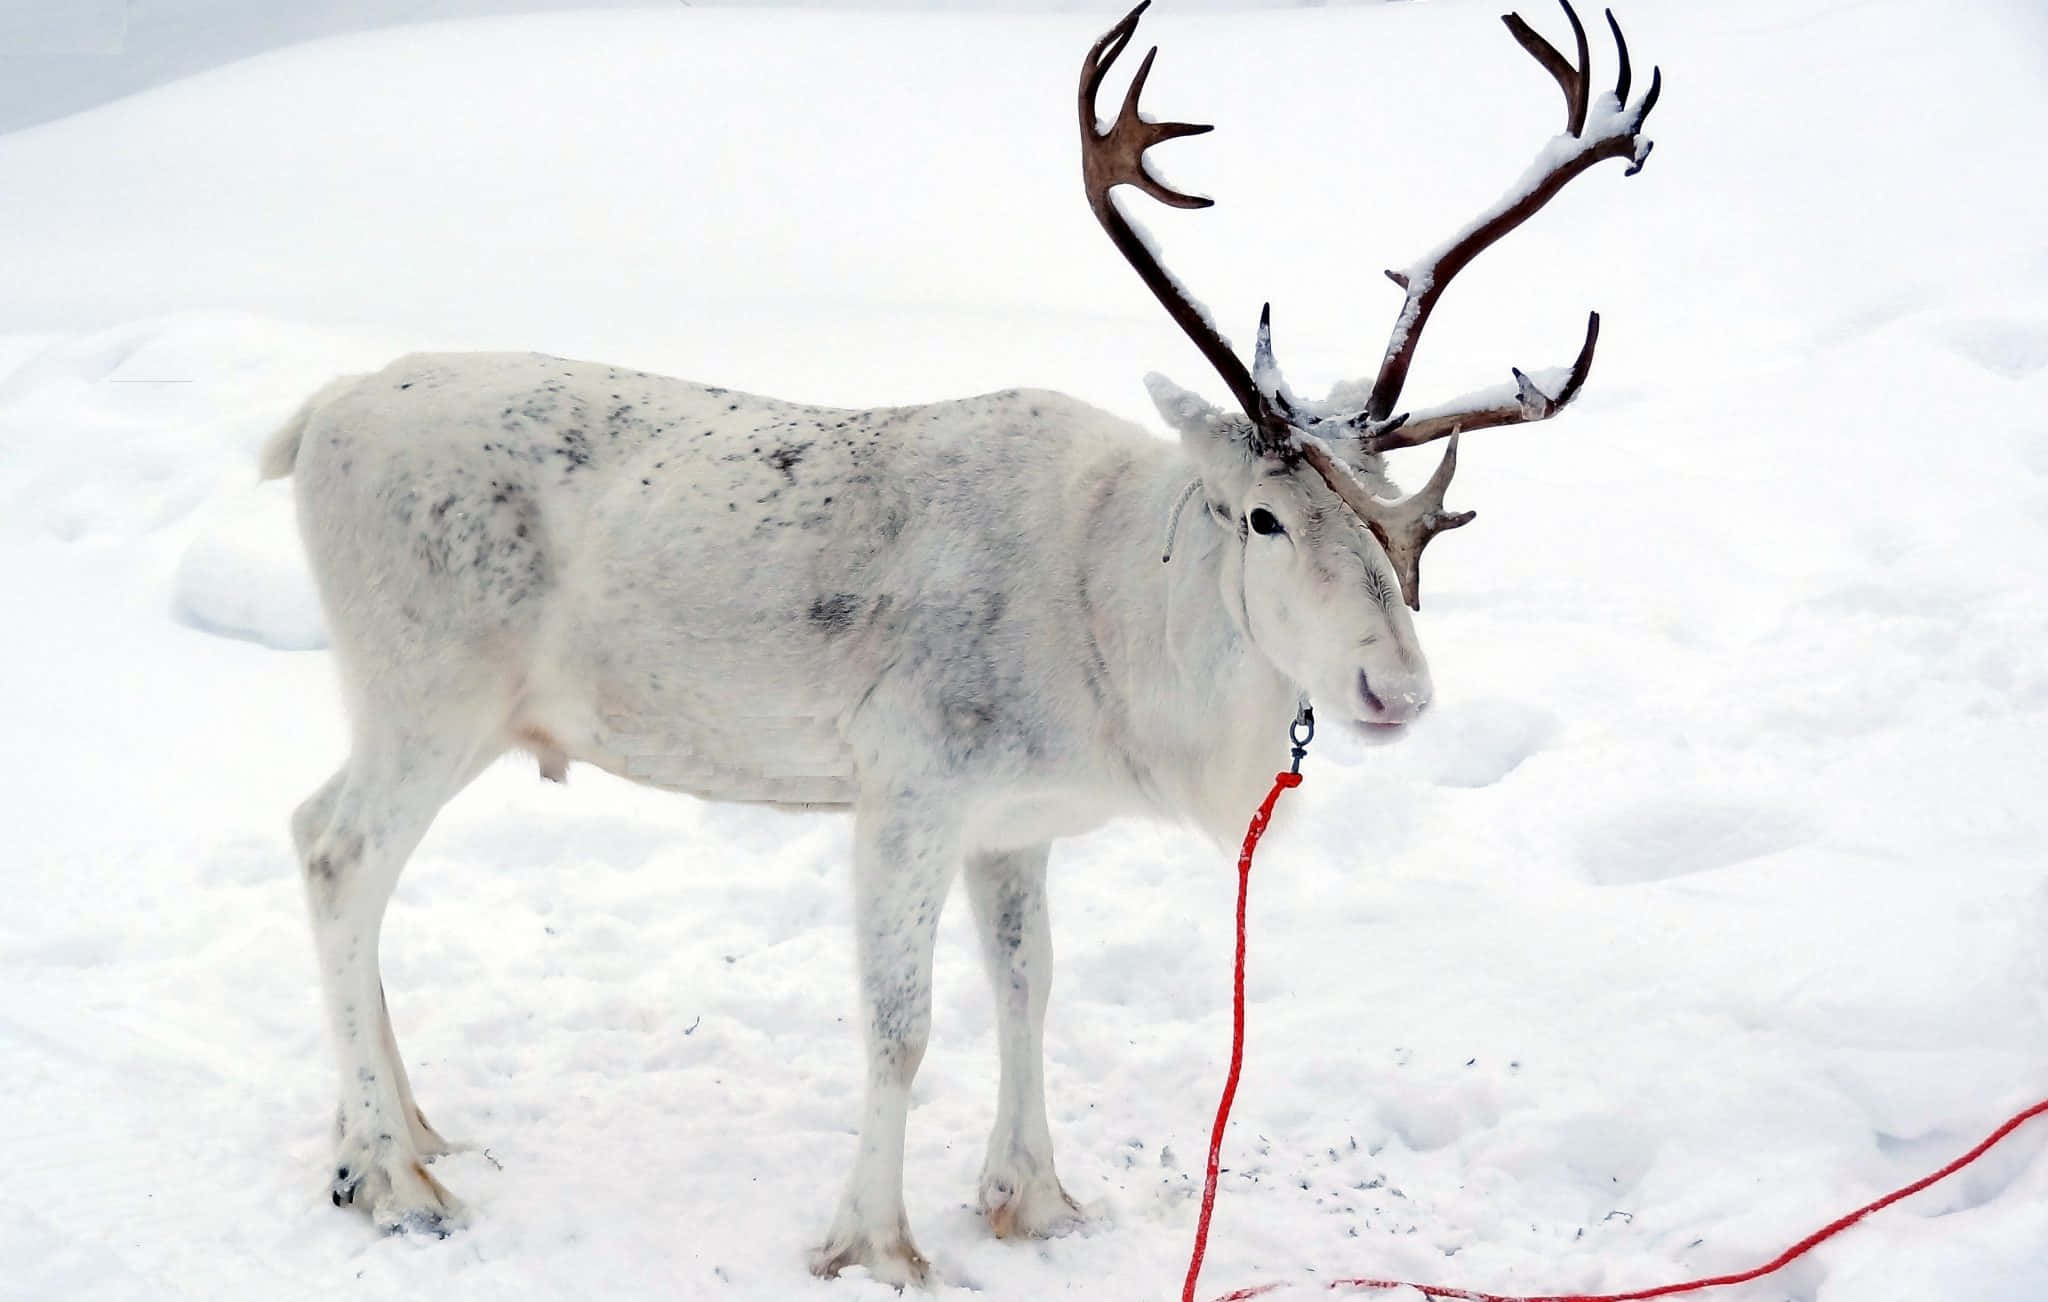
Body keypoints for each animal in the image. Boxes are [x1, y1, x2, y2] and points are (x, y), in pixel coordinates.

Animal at [261, 0, 1657, 1285]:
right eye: (1262, 515)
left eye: (1394, 512)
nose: (1394, 690)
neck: (1111, 621)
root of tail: (318, 415)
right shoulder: (906, 793)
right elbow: (899, 1025)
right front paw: (874, 1245)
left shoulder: (1015, 821)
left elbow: (1027, 988)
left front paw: (1033, 1201)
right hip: (426, 692)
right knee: (337, 855)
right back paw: (394, 1181)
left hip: (444, 712)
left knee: (335, 850)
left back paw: (400, 1138)